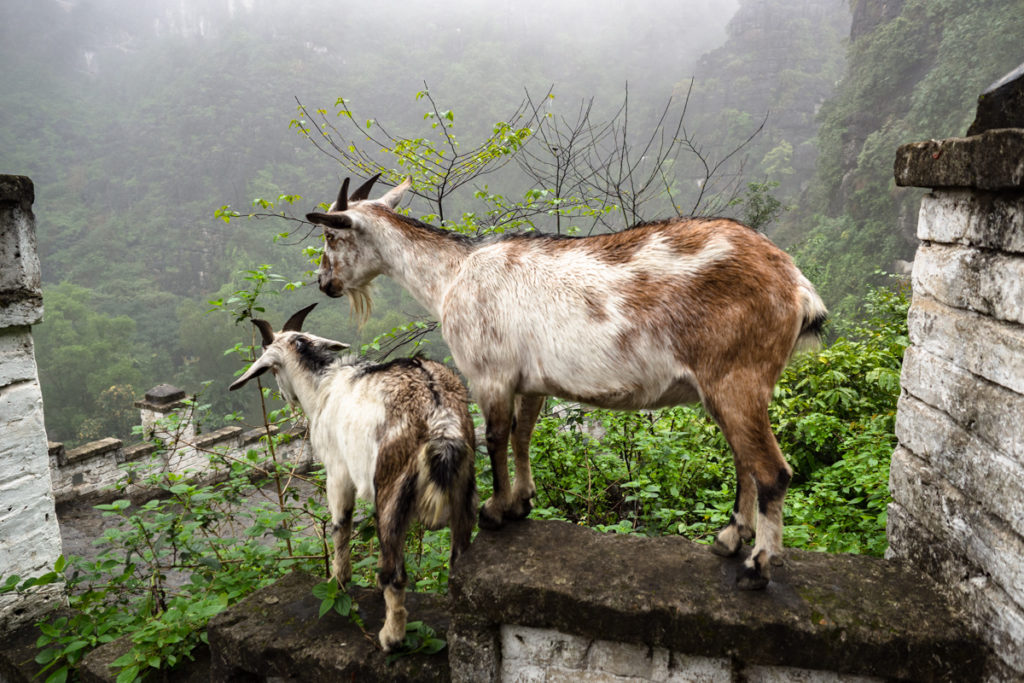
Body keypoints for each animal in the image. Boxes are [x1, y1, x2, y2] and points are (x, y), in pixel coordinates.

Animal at [228, 305, 475, 651]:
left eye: (273, 369)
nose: (285, 397)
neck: (323, 386)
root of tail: (440, 417)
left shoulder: (337, 471)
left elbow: (340, 523)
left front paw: (339, 581)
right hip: (465, 485)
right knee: (457, 563)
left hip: (390, 488)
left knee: (394, 572)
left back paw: (391, 637)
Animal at [307, 175, 827, 589]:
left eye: (332, 236)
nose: (324, 283)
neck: (451, 274)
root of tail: (795, 284)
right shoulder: (532, 382)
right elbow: (523, 436)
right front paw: (522, 501)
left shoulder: (490, 374)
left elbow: (496, 438)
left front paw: (495, 511)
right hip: (729, 388)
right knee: (745, 461)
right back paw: (729, 539)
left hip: (737, 376)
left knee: (771, 470)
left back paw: (758, 566)